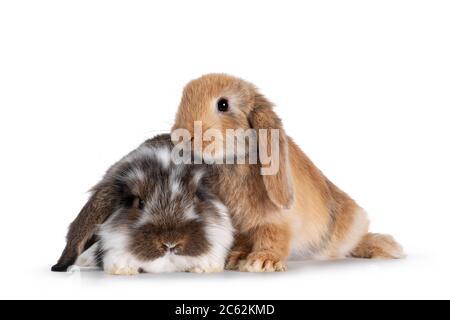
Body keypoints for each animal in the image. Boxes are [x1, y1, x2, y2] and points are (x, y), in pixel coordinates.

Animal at [172, 74, 404, 272]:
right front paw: (235, 258)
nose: (182, 136)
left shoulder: (276, 221)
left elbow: (273, 237)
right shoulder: (239, 227)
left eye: (223, 104)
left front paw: (263, 262)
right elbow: (242, 241)